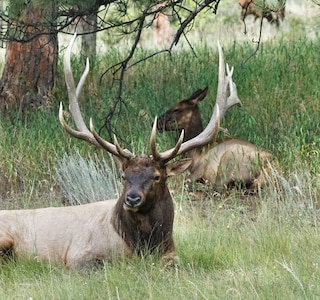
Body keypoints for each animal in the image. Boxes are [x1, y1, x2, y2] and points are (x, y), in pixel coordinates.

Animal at [0, 34, 232, 268]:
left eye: (157, 176)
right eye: (123, 176)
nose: (132, 199)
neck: (142, 245)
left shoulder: (172, 253)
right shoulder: (78, 256)